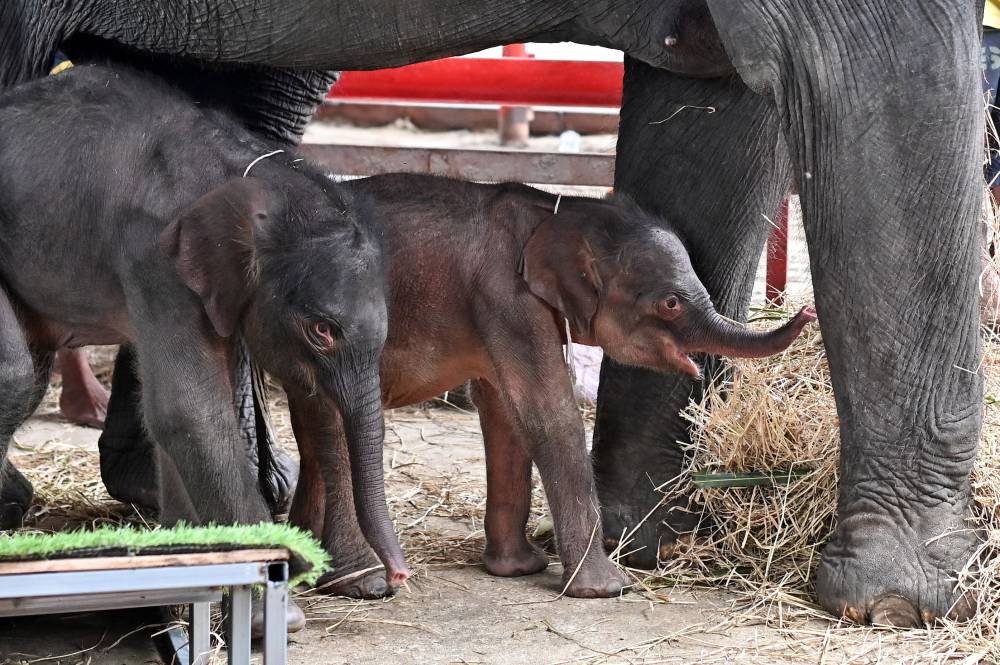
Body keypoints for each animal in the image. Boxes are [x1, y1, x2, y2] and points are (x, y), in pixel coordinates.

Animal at [0, 63, 408, 588]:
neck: (251, 171)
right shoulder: (155, 259)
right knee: (15, 374)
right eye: (322, 331)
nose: (399, 577)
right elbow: (189, 410)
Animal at [288, 173, 816, 598]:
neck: (559, 210)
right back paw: (361, 583)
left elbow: (504, 412)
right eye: (670, 303)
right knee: (332, 428)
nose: (808, 312)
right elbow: (548, 412)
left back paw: (299, 565)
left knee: (314, 434)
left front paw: (518, 570)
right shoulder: (506, 297)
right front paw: (607, 590)